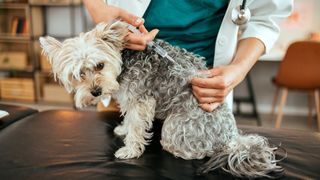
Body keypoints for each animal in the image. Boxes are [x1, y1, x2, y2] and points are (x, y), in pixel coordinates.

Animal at [39, 21, 282, 179]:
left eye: (99, 65)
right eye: (78, 74)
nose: (96, 92)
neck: (125, 58)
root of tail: (232, 139)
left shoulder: (140, 100)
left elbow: (137, 126)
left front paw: (129, 149)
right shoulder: (129, 98)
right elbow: (128, 120)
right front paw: (123, 129)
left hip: (175, 128)